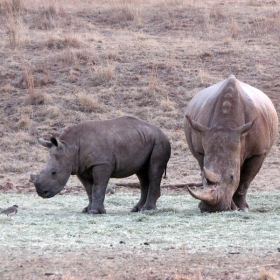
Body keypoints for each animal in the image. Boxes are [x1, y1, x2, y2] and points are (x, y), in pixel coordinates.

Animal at [30, 116, 171, 214]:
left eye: (54, 172)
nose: (42, 193)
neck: (69, 147)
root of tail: (162, 132)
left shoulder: (102, 164)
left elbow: (98, 186)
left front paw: (94, 212)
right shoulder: (81, 167)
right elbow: (89, 189)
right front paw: (87, 210)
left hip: (159, 141)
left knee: (153, 171)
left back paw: (147, 210)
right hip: (144, 139)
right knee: (142, 174)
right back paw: (136, 209)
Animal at [184, 74, 278, 212]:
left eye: (232, 176)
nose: (212, 209)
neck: (226, 124)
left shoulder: (258, 152)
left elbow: (244, 181)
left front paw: (242, 208)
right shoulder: (201, 148)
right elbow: (204, 169)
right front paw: (234, 207)